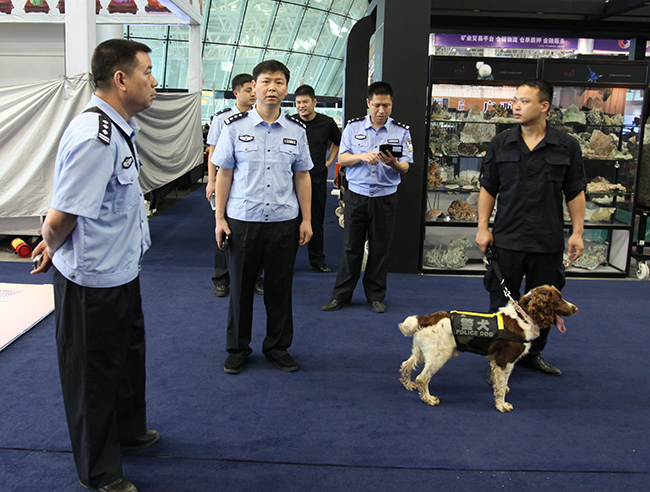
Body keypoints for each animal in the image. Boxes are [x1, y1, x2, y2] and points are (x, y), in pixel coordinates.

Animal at [398, 284, 576, 412]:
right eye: (559, 299)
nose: (576, 308)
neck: (523, 317)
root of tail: (426, 319)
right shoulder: (505, 360)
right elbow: (502, 385)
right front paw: (502, 405)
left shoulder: (499, 361)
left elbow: (500, 382)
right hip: (438, 355)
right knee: (422, 378)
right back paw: (429, 399)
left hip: (421, 350)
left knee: (406, 365)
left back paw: (409, 385)